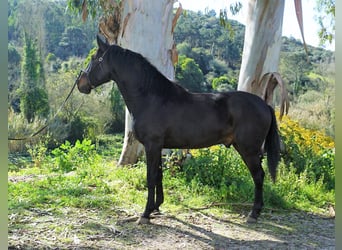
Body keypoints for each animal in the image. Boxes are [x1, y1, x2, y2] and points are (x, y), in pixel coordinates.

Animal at [77, 35, 280, 225]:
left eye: (94, 58)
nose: (80, 83)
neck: (151, 97)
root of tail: (264, 105)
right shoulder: (158, 147)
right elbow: (159, 175)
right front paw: (156, 207)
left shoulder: (152, 145)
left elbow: (151, 177)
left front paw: (145, 214)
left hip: (248, 150)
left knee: (259, 176)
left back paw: (253, 214)